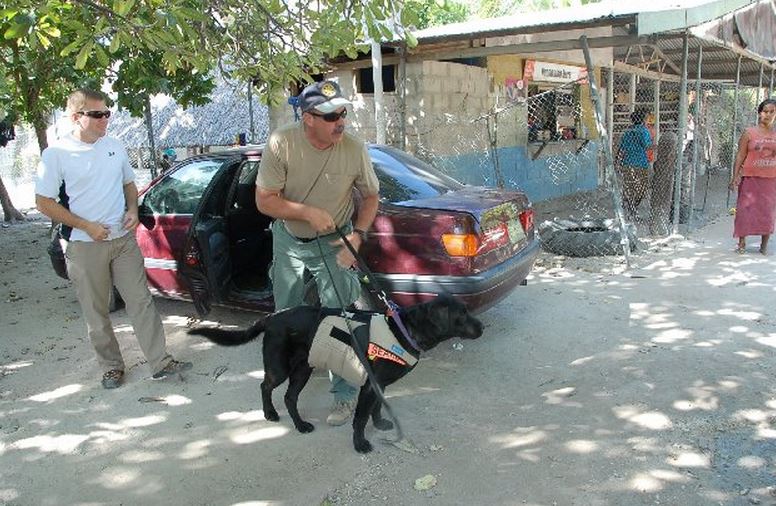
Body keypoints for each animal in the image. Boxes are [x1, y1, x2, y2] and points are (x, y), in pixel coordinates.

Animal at [191, 294, 482, 452]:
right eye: (462, 315)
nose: (481, 327)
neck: (405, 329)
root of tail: (272, 317)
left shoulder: (379, 385)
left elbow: (377, 408)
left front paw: (380, 424)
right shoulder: (370, 386)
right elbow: (360, 417)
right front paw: (360, 443)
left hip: (303, 368)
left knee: (289, 397)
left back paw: (300, 425)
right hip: (280, 367)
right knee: (265, 386)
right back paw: (270, 414)